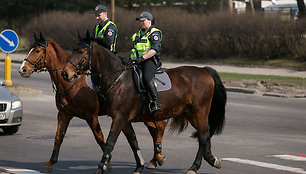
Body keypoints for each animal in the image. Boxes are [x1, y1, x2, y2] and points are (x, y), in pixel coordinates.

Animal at [18, 33, 167, 173]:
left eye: (37, 50)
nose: (22, 69)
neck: (73, 82)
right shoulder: (64, 114)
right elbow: (58, 137)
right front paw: (50, 163)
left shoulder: (91, 116)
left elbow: (99, 138)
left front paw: (107, 163)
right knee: (155, 129)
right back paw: (155, 158)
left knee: (160, 126)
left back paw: (158, 156)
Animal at [61, 31, 226, 174]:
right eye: (73, 50)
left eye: (81, 51)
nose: (65, 73)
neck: (118, 79)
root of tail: (204, 70)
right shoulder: (124, 120)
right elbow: (133, 142)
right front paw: (139, 166)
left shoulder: (119, 118)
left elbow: (109, 143)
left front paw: (100, 168)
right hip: (191, 113)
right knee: (204, 135)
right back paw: (211, 159)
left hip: (199, 112)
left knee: (203, 135)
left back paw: (195, 166)